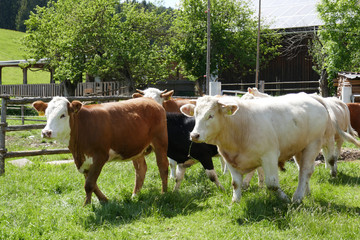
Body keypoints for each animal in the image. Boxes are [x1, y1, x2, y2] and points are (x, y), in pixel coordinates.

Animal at [33, 96, 169, 205]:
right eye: (46, 115)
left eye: (62, 115)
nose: (46, 132)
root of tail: (149, 99)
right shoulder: (84, 161)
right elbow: (91, 183)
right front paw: (103, 200)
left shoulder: (100, 156)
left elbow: (89, 184)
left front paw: (86, 205)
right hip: (136, 148)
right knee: (141, 169)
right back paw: (135, 195)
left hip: (160, 142)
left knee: (163, 167)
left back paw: (164, 193)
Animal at [179, 93, 352, 203]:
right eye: (195, 114)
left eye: (211, 115)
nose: (194, 135)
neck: (239, 126)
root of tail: (311, 96)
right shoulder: (230, 159)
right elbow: (236, 183)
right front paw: (235, 202)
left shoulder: (269, 156)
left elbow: (272, 184)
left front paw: (284, 198)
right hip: (299, 148)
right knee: (304, 170)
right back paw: (306, 193)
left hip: (313, 144)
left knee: (305, 171)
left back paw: (297, 197)